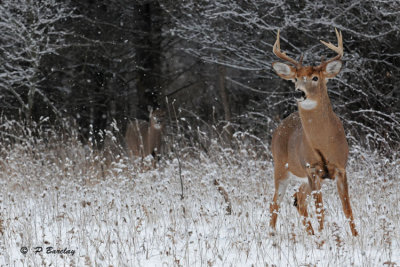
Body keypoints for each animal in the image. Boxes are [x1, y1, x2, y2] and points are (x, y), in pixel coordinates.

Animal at [270, 28, 358, 237]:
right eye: (295, 79)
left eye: (315, 78)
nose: (299, 92)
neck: (325, 145)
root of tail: (279, 128)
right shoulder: (312, 169)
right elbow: (321, 210)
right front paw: (323, 237)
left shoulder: (341, 167)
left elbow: (347, 208)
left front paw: (356, 237)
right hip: (281, 167)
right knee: (275, 202)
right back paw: (271, 234)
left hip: (302, 178)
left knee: (298, 199)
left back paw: (310, 234)